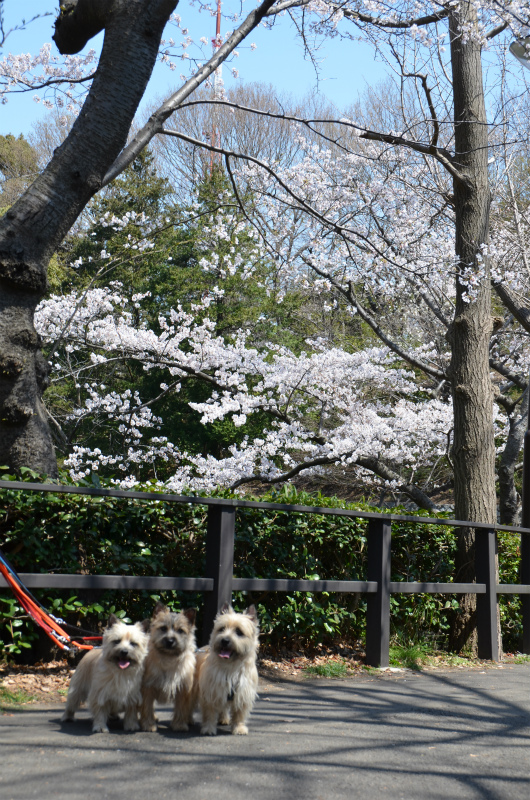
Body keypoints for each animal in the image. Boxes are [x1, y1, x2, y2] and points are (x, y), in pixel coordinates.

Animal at [139, 603, 197, 732]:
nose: (170, 641)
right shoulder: (148, 687)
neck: (168, 658)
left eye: (180, 631)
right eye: (163, 628)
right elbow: (147, 706)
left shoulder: (182, 688)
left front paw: (179, 725)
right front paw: (148, 724)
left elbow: (181, 707)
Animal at [197, 604, 259, 736]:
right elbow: (209, 713)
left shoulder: (242, 693)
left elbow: (239, 714)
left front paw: (239, 728)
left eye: (239, 632)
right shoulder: (211, 693)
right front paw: (208, 728)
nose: (224, 640)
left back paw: (224, 719)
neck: (230, 667)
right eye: (221, 629)